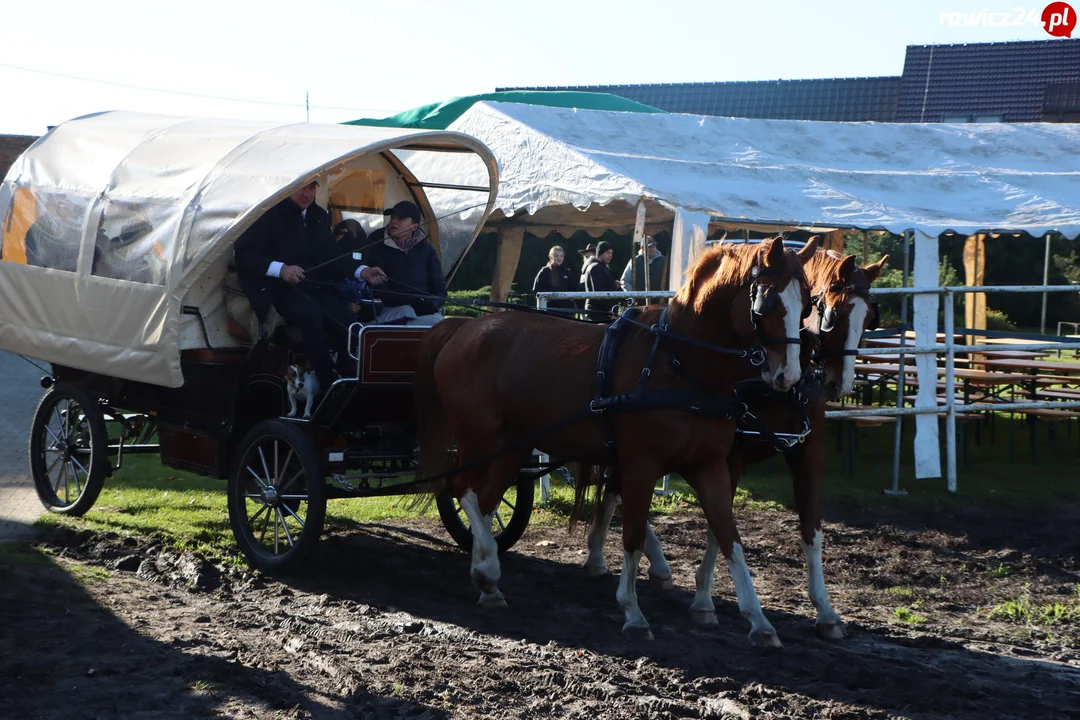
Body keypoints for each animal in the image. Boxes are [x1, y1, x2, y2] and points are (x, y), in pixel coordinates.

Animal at [416, 239, 812, 643]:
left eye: (807, 304)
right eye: (766, 302)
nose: (788, 375)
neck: (679, 363)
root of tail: (464, 327)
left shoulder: (709, 466)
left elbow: (730, 537)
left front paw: (758, 621)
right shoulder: (641, 465)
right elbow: (633, 536)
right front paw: (633, 612)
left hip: (512, 447)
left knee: (484, 501)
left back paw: (487, 578)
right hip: (481, 439)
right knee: (461, 489)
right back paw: (488, 569)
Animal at [583, 248, 885, 643]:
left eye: (869, 317)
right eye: (833, 313)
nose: (840, 383)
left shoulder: (806, 454)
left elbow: (811, 530)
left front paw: (826, 610)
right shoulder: (731, 456)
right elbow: (718, 526)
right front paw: (704, 602)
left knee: (616, 486)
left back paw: (624, 560)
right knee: (620, 487)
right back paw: (615, 559)